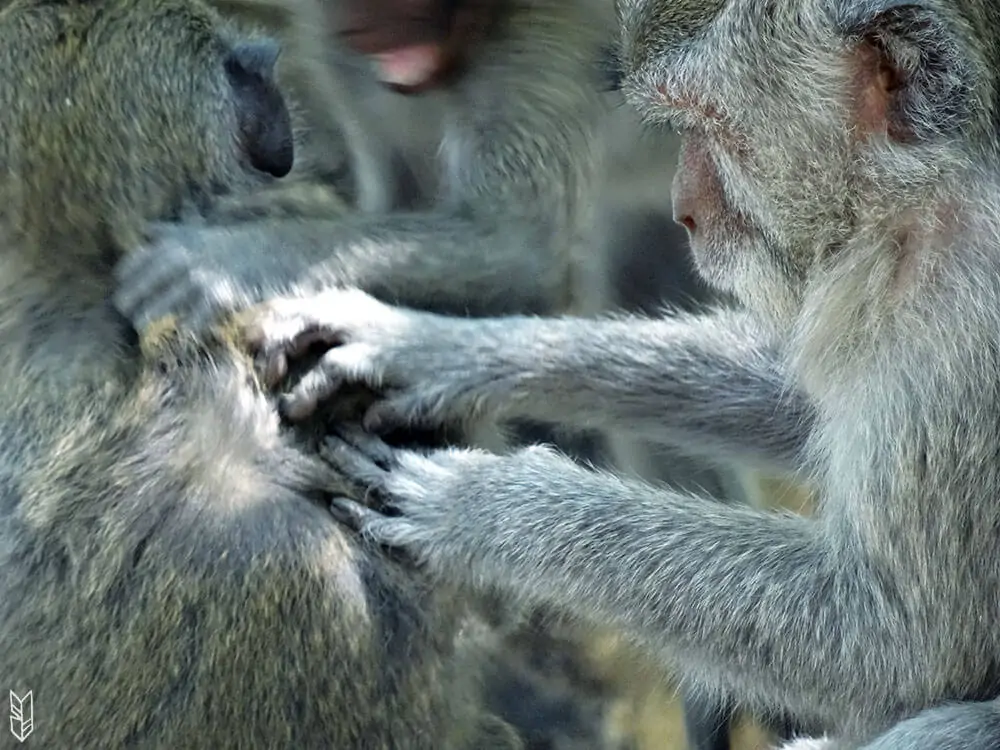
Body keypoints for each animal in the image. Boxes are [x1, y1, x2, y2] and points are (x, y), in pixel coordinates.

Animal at [211, 0, 1000, 748]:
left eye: (706, 124)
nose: (686, 211)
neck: (918, 195)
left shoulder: (959, 316)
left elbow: (896, 644)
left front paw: (487, 508)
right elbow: (791, 399)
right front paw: (425, 347)